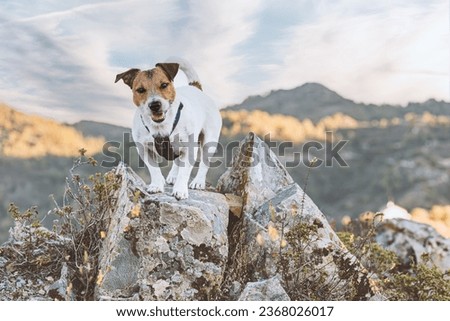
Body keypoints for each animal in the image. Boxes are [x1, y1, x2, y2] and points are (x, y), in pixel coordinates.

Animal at [115, 57, 222, 198]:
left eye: (164, 85)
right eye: (141, 90)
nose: (155, 105)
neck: (160, 126)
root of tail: (195, 88)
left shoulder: (189, 148)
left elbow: (184, 172)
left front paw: (180, 190)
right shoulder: (144, 150)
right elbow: (154, 169)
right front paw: (156, 185)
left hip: (209, 141)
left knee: (204, 163)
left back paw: (198, 182)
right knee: (177, 159)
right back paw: (173, 176)